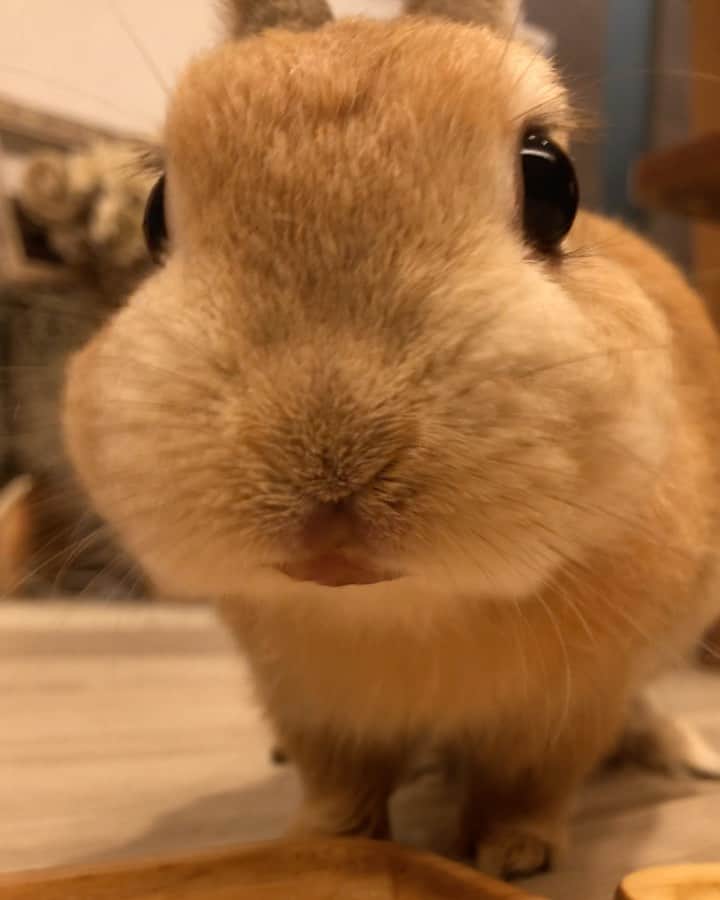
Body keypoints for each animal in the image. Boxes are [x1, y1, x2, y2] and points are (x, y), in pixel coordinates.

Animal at [62, 0, 720, 878]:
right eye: (154, 211)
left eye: (554, 185)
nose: (327, 475)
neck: (400, 612)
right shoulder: (312, 709)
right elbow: (340, 785)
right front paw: (320, 845)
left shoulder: (568, 710)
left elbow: (526, 785)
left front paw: (510, 856)